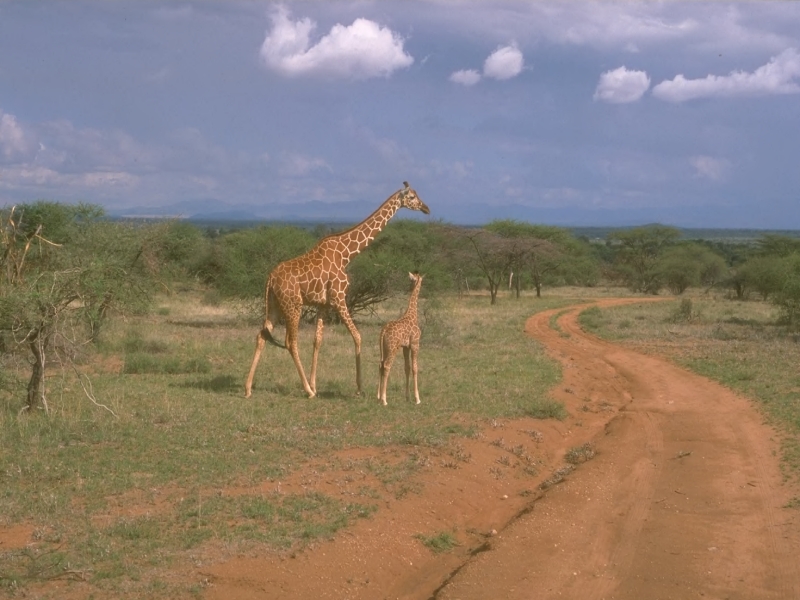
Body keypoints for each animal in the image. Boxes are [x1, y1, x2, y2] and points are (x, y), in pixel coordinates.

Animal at [376, 274, 422, 406]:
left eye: (411, 281)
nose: (408, 288)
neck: (412, 314)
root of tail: (384, 330)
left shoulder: (405, 347)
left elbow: (407, 368)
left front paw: (407, 397)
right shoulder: (415, 344)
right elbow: (415, 368)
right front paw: (417, 399)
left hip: (384, 348)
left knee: (380, 364)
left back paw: (378, 396)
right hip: (392, 348)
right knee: (386, 366)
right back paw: (384, 400)